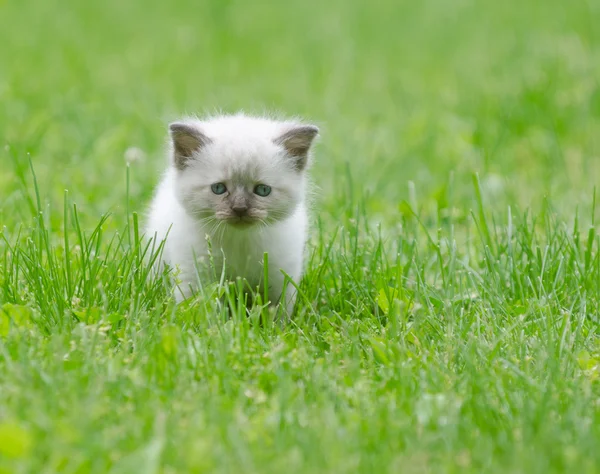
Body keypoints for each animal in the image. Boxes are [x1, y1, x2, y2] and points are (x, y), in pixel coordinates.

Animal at [145, 113, 318, 312]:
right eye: (218, 188)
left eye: (263, 190)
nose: (240, 209)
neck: (239, 241)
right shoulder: (195, 274)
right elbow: (199, 309)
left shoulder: (280, 277)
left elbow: (278, 311)